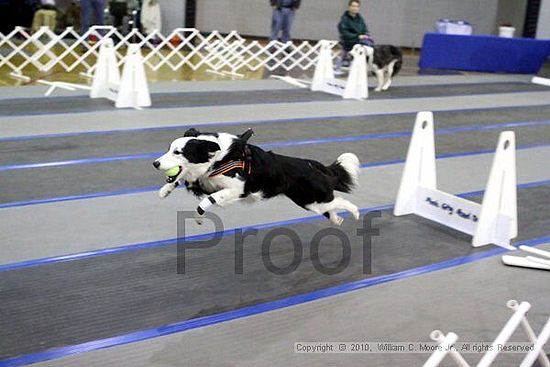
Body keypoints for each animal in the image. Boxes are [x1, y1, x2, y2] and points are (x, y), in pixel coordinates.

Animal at [154, 129, 362, 227]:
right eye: (168, 149)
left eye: (178, 152)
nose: (155, 163)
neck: (220, 157)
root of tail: (313, 165)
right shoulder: (207, 181)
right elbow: (183, 180)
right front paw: (165, 190)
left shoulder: (237, 189)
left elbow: (205, 202)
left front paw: (199, 218)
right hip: (310, 203)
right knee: (331, 207)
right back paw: (337, 220)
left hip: (311, 198)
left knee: (342, 201)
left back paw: (356, 213)